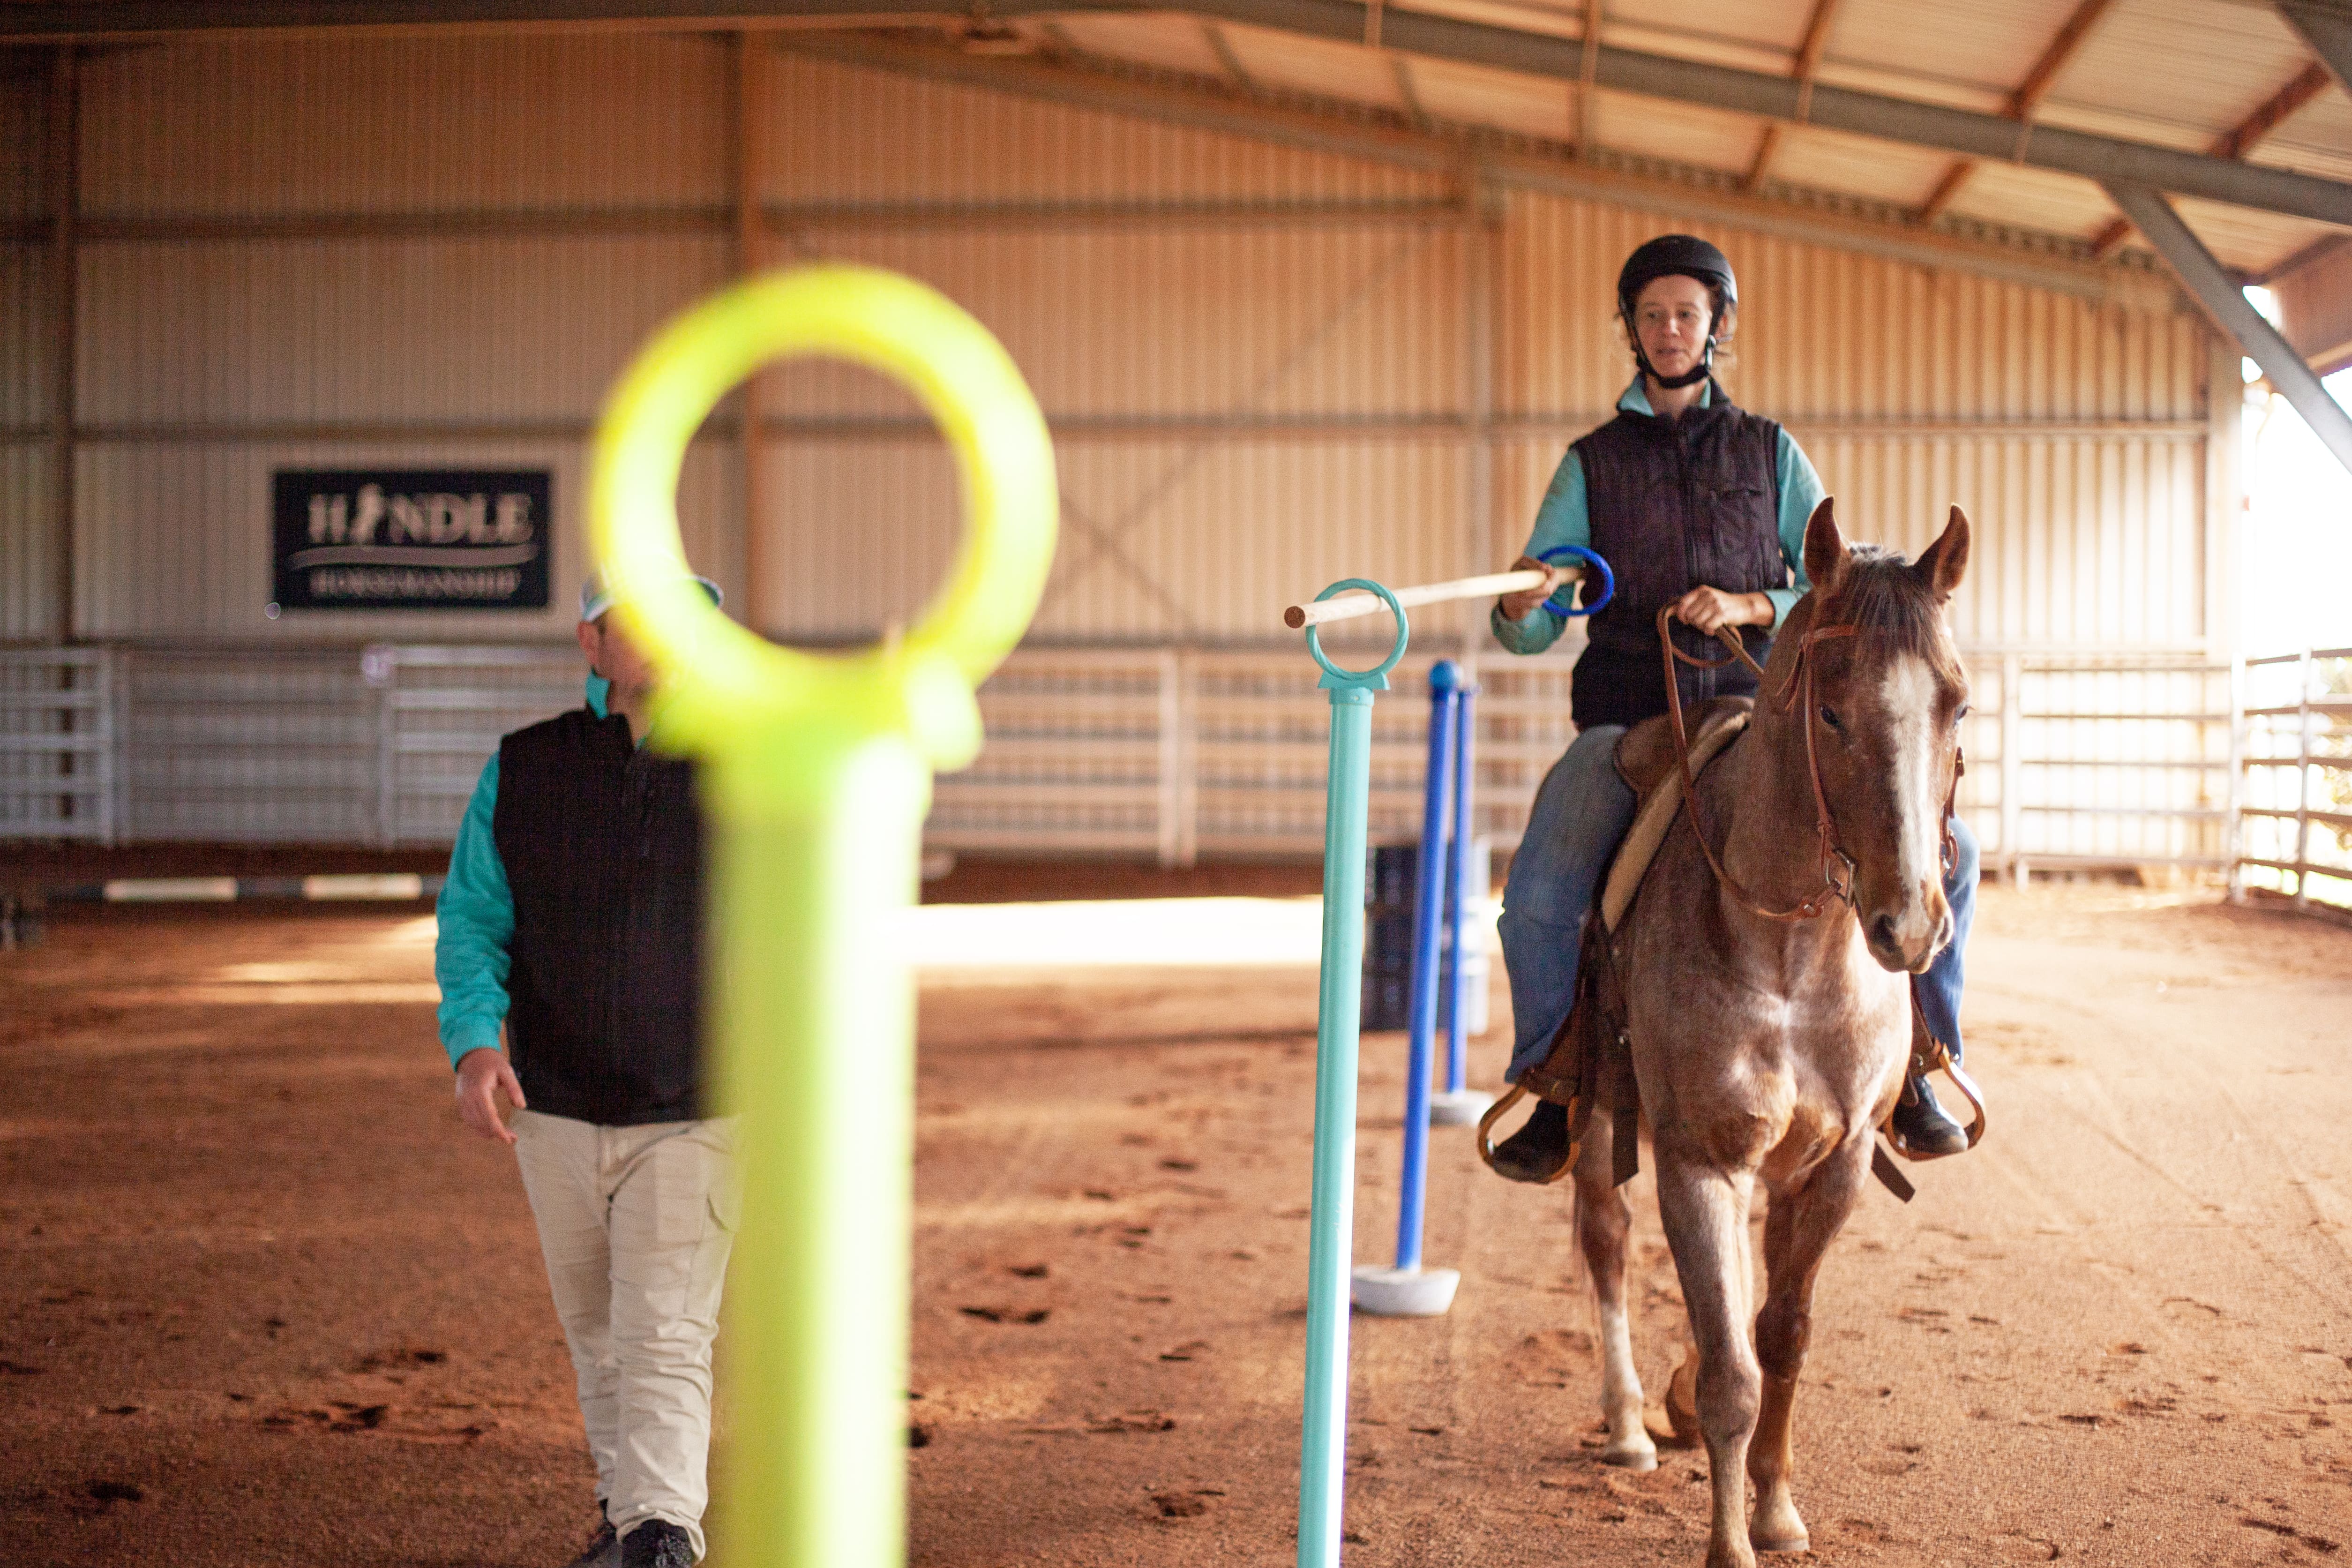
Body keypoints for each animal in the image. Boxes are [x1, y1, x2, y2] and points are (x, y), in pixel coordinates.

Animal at [1571, 497, 1971, 1568]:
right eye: (1829, 711)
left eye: (1954, 705)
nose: (1908, 927)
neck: (1791, 949)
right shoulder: (1698, 1162)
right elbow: (1730, 1372)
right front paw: (1727, 1542)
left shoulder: (1833, 1162)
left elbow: (1780, 1337)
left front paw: (1776, 1509)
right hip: (1594, 1114)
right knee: (1605, 1237)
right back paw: (1627, 1424)